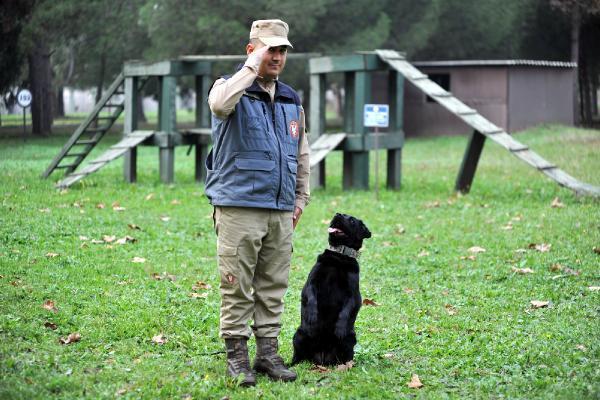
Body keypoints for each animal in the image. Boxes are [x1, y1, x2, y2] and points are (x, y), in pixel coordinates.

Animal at [290, 212, 370, 366]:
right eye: (341, 214)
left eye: (352, 220)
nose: (337, 214)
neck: (339, 257)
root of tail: (321, 359)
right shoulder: (311, 284)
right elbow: (311, 299)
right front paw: (312, 316)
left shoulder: (353, 295)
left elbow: (346, 311)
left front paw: (340, 327)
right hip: (299, 335)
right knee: (298, 356)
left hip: (350, 339)